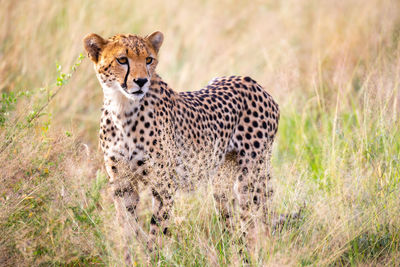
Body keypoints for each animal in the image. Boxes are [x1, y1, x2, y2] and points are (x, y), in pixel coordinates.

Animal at [83, 30, 278, 262]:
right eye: (122, 60)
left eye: (148, 60)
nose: (141, 81)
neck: (123, 108)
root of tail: (253, 82)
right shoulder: (123, 184)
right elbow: (127, 227)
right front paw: (128, 258)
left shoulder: (164, 185)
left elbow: (157, 231)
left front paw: (153, 259)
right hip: (222, 182)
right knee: (232, 222)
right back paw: (234, 254)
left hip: (251, 178)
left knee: (255, 220)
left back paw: (256, 253)